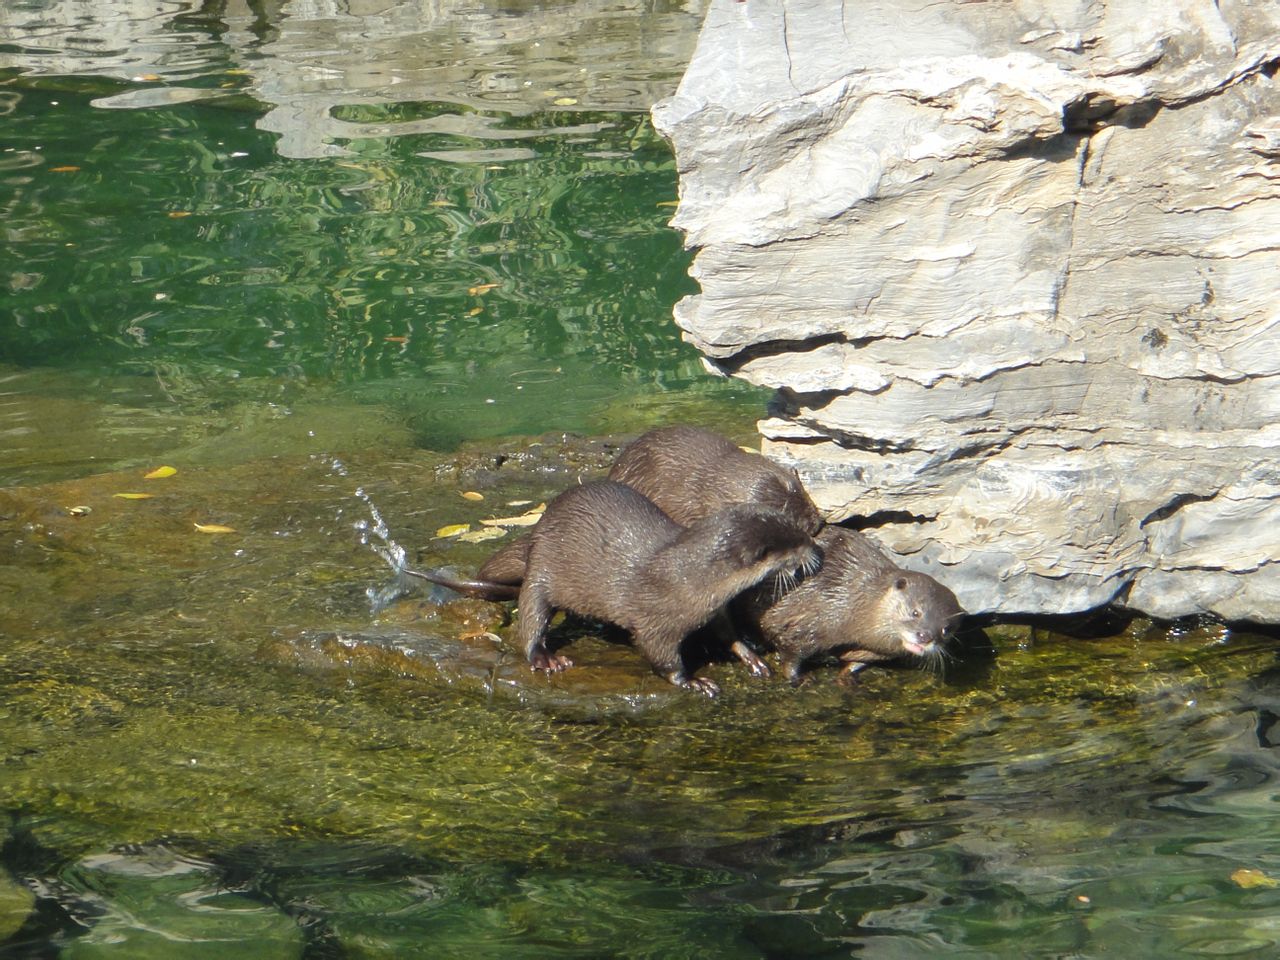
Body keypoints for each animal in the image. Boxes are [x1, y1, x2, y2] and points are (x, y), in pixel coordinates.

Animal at [753, 526, 964, 683]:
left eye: (946, 629)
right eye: (915, 613)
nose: (925, 636)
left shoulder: (876, 651)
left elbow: (856, 661)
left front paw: (847, 676)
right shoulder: (803, 623)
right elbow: (790, 653)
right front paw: (798, 678)